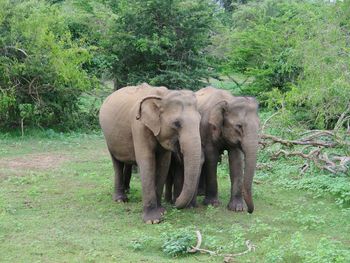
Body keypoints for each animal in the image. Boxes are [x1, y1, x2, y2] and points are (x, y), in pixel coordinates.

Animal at [98, 84, 202, 225]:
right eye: (176, 123)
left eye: (200, 121)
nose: (175, 202)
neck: (163, 96)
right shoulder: (139, 125)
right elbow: (147, 161)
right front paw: (153, 220)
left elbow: (163, 164)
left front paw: (162, 211)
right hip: (108, 138)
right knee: (117, 163)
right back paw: (121, 200)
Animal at [165, 86, 260, 214]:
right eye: (239, 126)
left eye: (259, 125)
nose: (250, 211)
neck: (228, 101)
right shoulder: (207, 130)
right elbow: (211, 158)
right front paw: (212, 204)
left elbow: (236, 160)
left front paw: (237, 208)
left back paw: (201, 193)